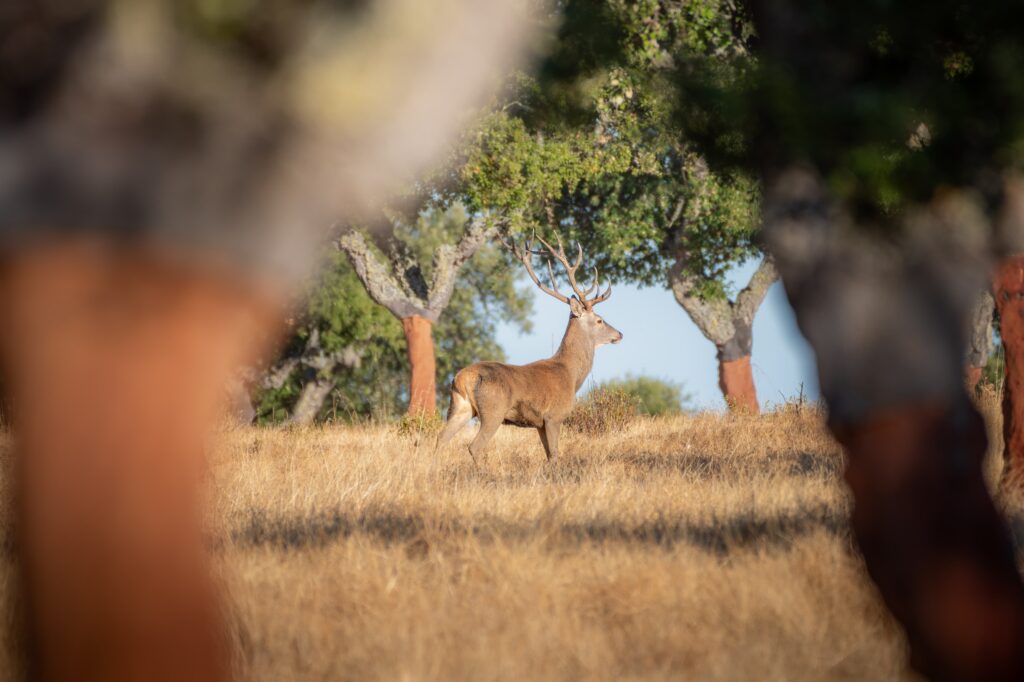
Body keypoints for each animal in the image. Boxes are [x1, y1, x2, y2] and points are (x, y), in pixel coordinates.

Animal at [435, 233, 623, 461]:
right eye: (599, 320)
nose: (620, 334)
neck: (570, 375)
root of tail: (462, 378)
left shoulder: (539, 424)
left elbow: (549, 455)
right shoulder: (553, 417)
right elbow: (555, 455)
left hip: (459, 407)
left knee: (440, 439)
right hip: (493, 410)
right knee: (474, 446)